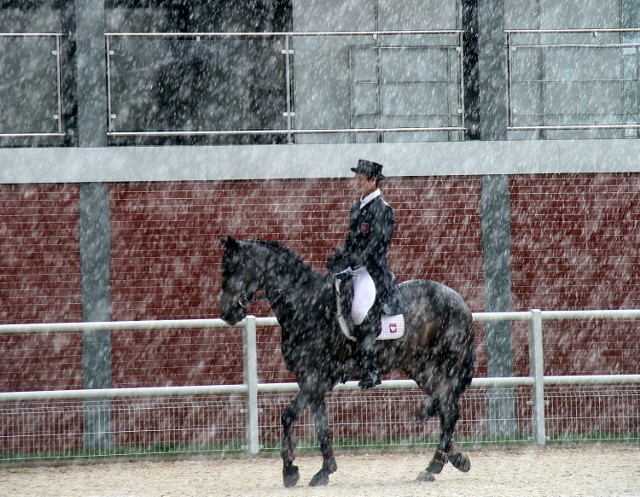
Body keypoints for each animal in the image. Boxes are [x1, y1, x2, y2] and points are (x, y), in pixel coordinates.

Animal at [220, 236, 476, 484]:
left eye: (234, 268)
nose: (226, 313)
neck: (306, 306)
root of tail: (460, 300)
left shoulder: (315, 380)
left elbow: (288, 416)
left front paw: (290, 470)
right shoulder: (311, 382)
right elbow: (321, 426)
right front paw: (324, 470)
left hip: (444, 364)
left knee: (449, 411)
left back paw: (434, 465)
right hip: (422, 368)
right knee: (443, 406)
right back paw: (454, 458)